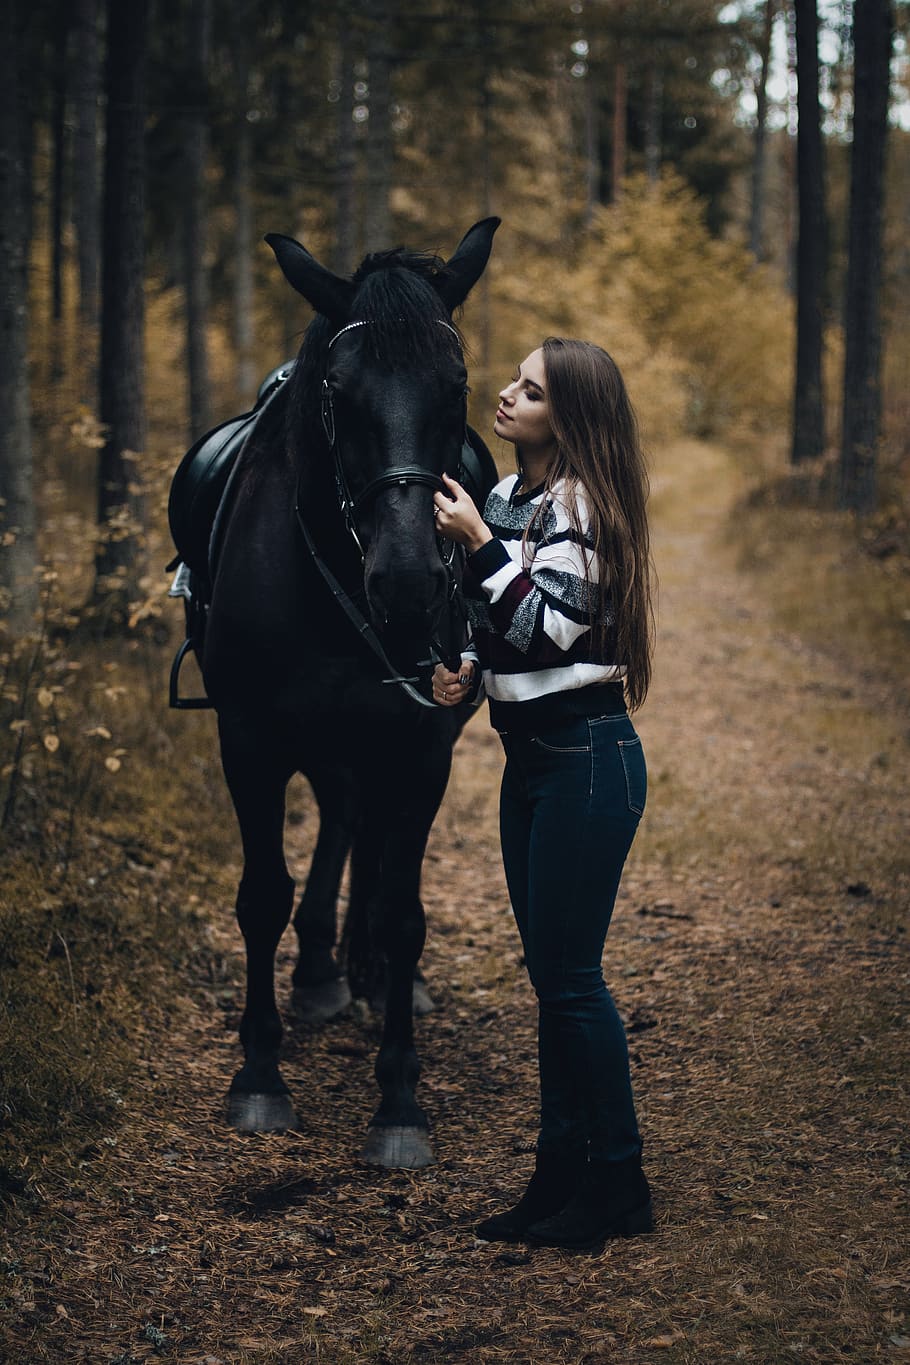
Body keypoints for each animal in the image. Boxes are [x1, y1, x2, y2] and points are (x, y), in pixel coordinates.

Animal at [198, 217, 500, 1169]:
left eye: (458, 383)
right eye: (339, 389)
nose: (406, 582)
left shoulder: (421, 742)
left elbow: (405, 911)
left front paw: (399, 1094)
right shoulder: (250, 738)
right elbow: (262, 894)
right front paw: (260, 1073)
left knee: (366, 832)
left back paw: (366, 972)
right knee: (343, 819)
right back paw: (326, 972)